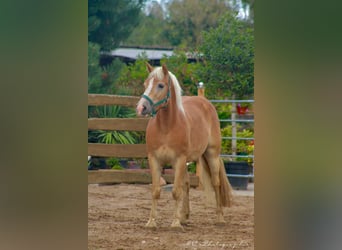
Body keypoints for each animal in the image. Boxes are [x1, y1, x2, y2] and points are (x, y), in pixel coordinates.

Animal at [136, 63, 232, 231]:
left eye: (160, 85)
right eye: (145, 84)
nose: (141, 107)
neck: (166, 127)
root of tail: (205, 102)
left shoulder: (179, 160)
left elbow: (176, 192)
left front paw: (175, 223)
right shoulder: (154, 160)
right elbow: (156, 191)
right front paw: (152, 222)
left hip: (211, 155)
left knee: (216, 183)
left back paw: (220, 218)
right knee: (186, 184)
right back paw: (184, 217)